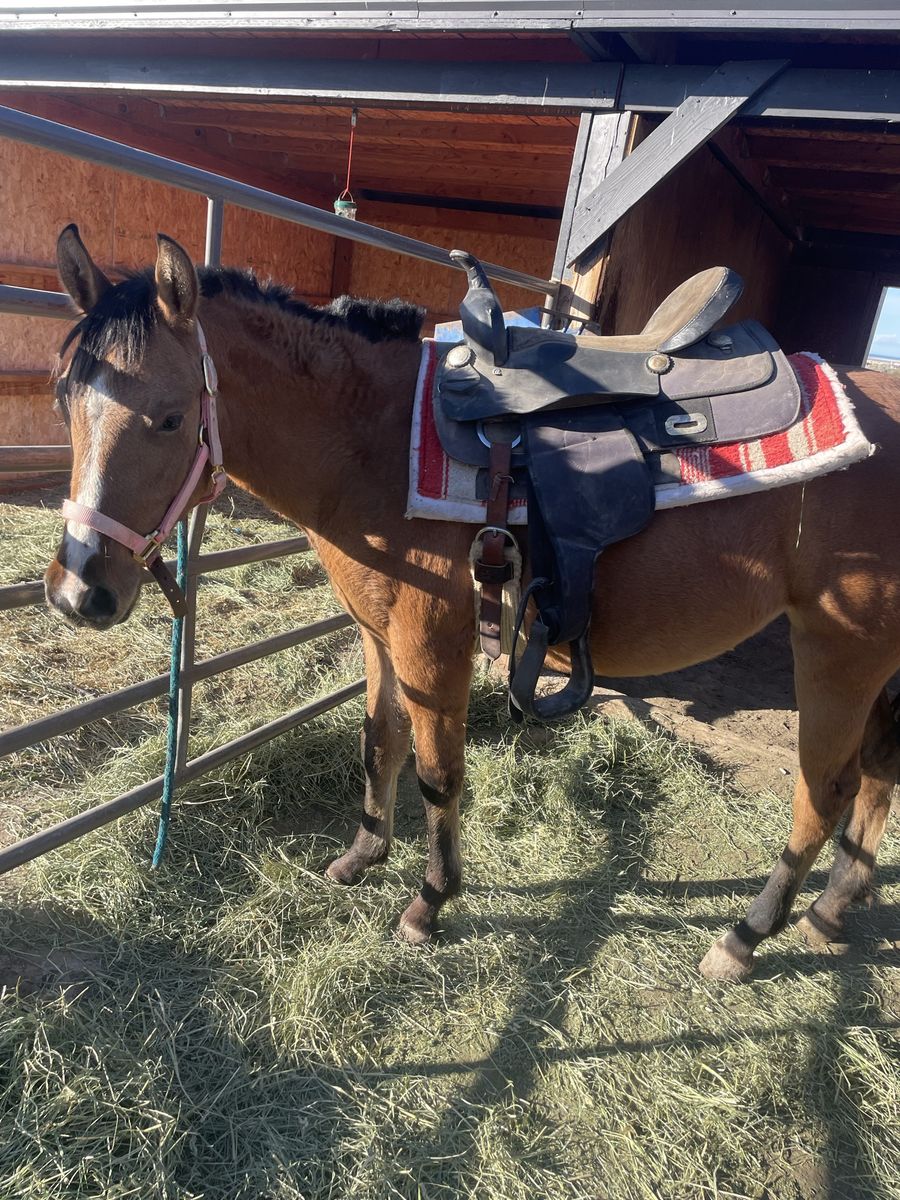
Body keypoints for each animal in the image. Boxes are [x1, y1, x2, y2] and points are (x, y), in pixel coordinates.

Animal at [44, 225, 900, 983]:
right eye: (65, 402)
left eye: (168, 417)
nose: (77, 589)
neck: (375, 440)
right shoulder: (378, 635)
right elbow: (379, 744)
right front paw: (362, 857)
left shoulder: (431, 642)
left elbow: (436, 771)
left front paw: (430, 901)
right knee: (878, 773)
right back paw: (832, 910)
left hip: (842, 650)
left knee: (825, 792)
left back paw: (745, 937)